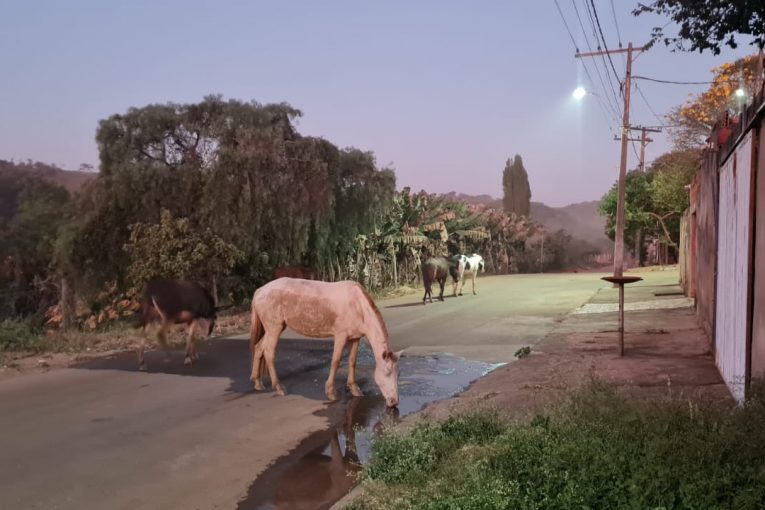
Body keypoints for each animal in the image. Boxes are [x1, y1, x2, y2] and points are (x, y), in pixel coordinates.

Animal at [249, 278, 401, 408]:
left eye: (398, 374)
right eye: (387, 372)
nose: (394, 402)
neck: (357, 305)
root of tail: (260, 290)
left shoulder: (354, 338)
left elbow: (352, 361)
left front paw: (354, 389)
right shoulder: (340, 336)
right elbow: (335, 361)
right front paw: (331, 392)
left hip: (273, 329)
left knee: (259, 348)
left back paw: (258, 382)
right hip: (274, 328)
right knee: (269, 353)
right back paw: (279, 388)